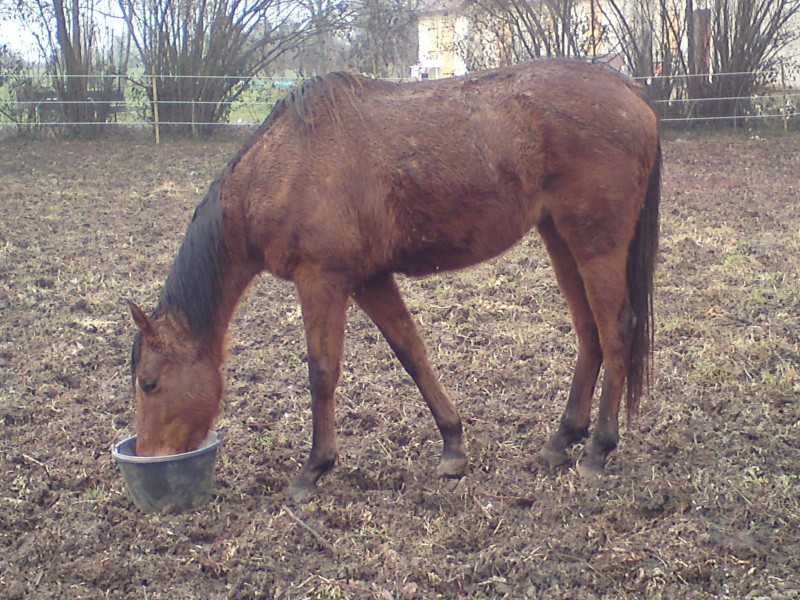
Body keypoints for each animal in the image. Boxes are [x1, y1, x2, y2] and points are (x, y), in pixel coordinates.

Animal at [128, 59, 660, 502]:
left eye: (149, 383)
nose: (152, 457)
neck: (283, 167)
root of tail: (632, 95)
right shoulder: (369, 279)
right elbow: (412, 352)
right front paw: (452, 446)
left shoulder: (322, 281)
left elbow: (322, 372)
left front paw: (313, 468)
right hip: (561, 239)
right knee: (590, 334)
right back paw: (562, 439)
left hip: (596, 244)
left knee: (616, 331)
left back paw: (598, 450)